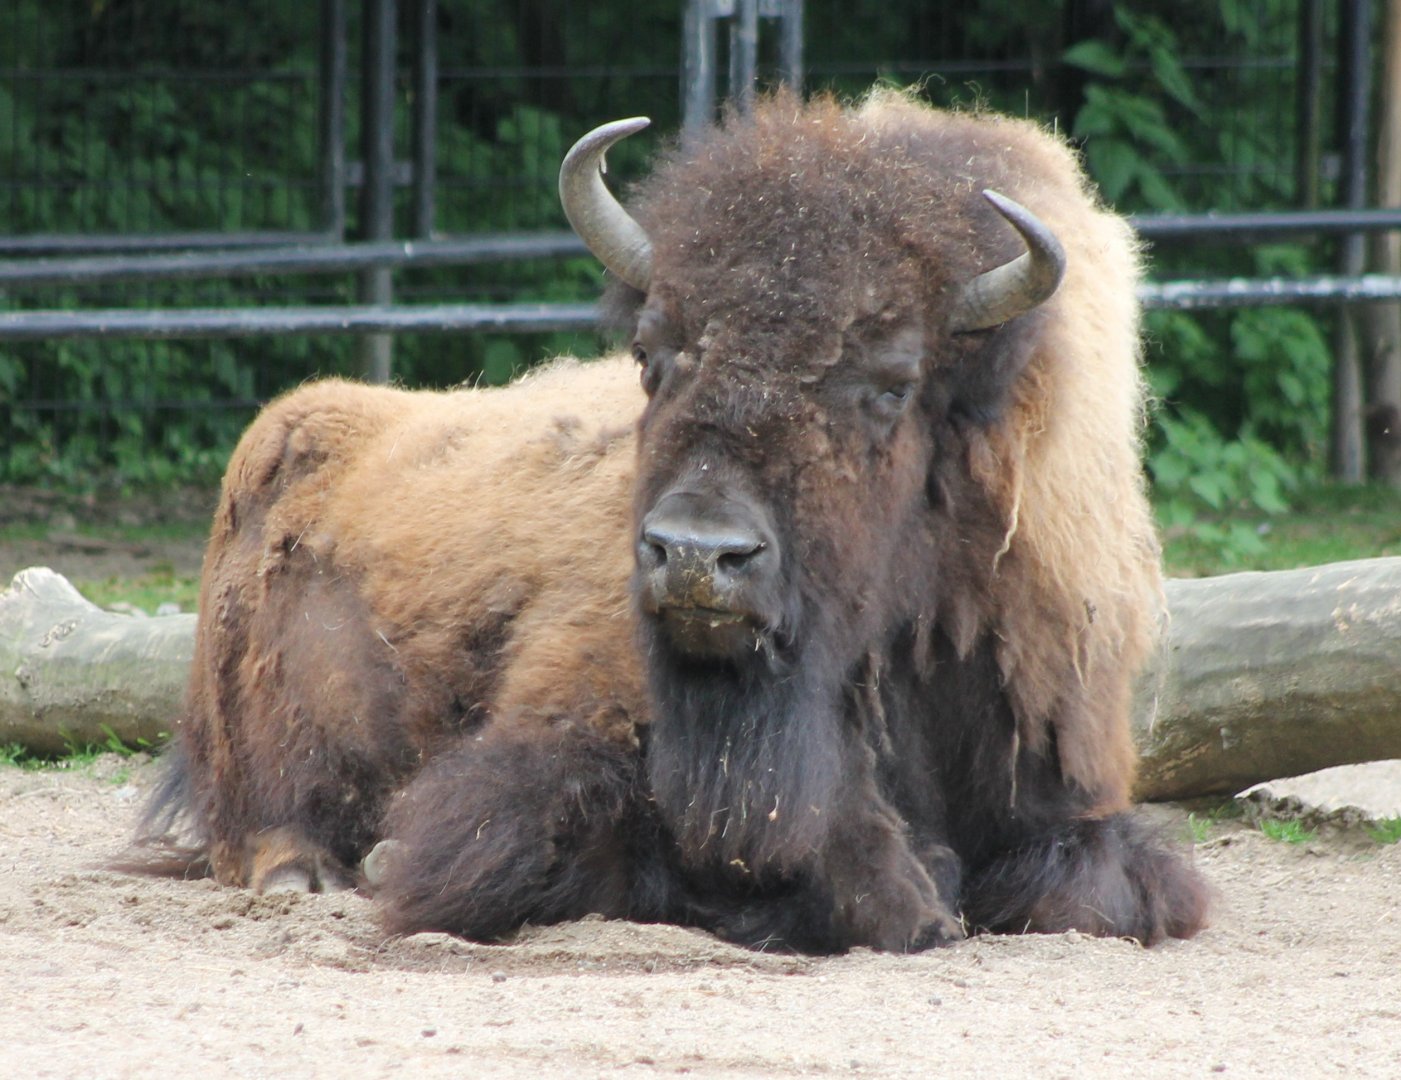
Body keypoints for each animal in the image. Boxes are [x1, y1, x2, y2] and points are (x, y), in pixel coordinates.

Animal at [137, 90, 1209, 952]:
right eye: (654, 351)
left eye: (890, 383)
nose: (694, 554)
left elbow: (1095, 892)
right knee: (265, 818)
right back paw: (305, 875)